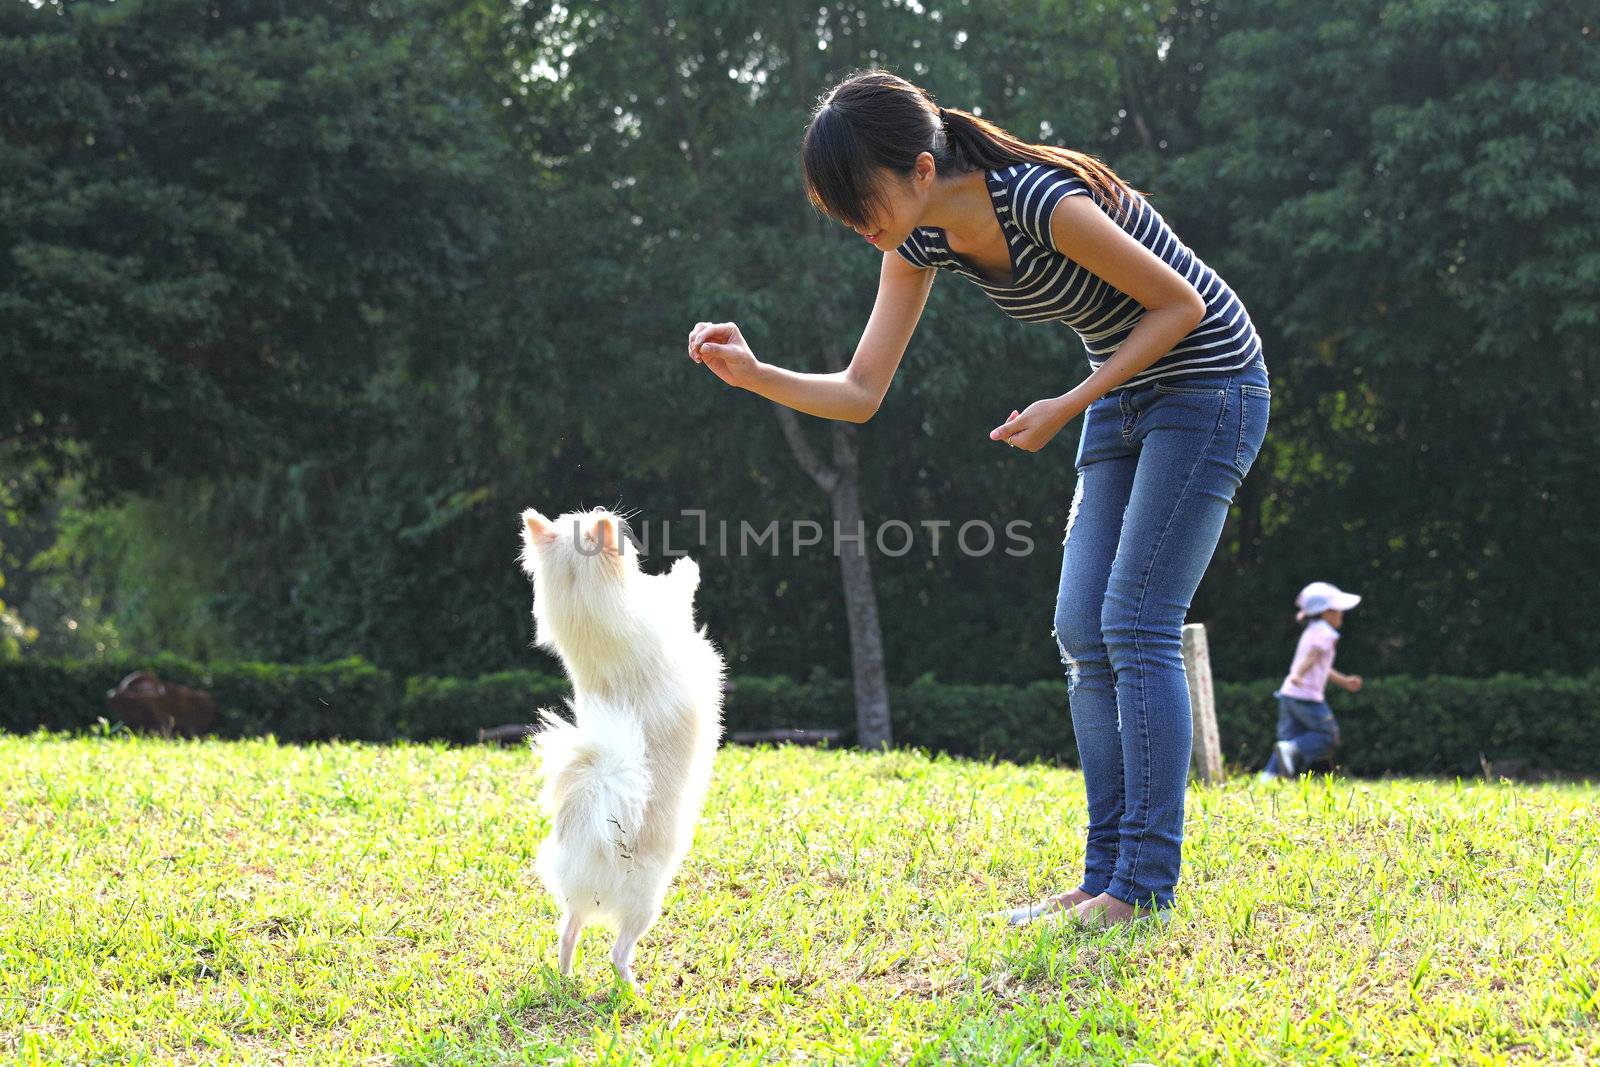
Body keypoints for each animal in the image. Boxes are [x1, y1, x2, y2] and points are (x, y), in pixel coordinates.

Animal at [518, 505, 726, 991]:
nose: (604, 511)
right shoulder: (669, 618)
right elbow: (678, 592)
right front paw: (687, 567)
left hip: (578, 905)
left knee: (568, 931)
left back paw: (565, 976)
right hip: (647, 901)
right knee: (616, 951)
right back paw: (633, 988)